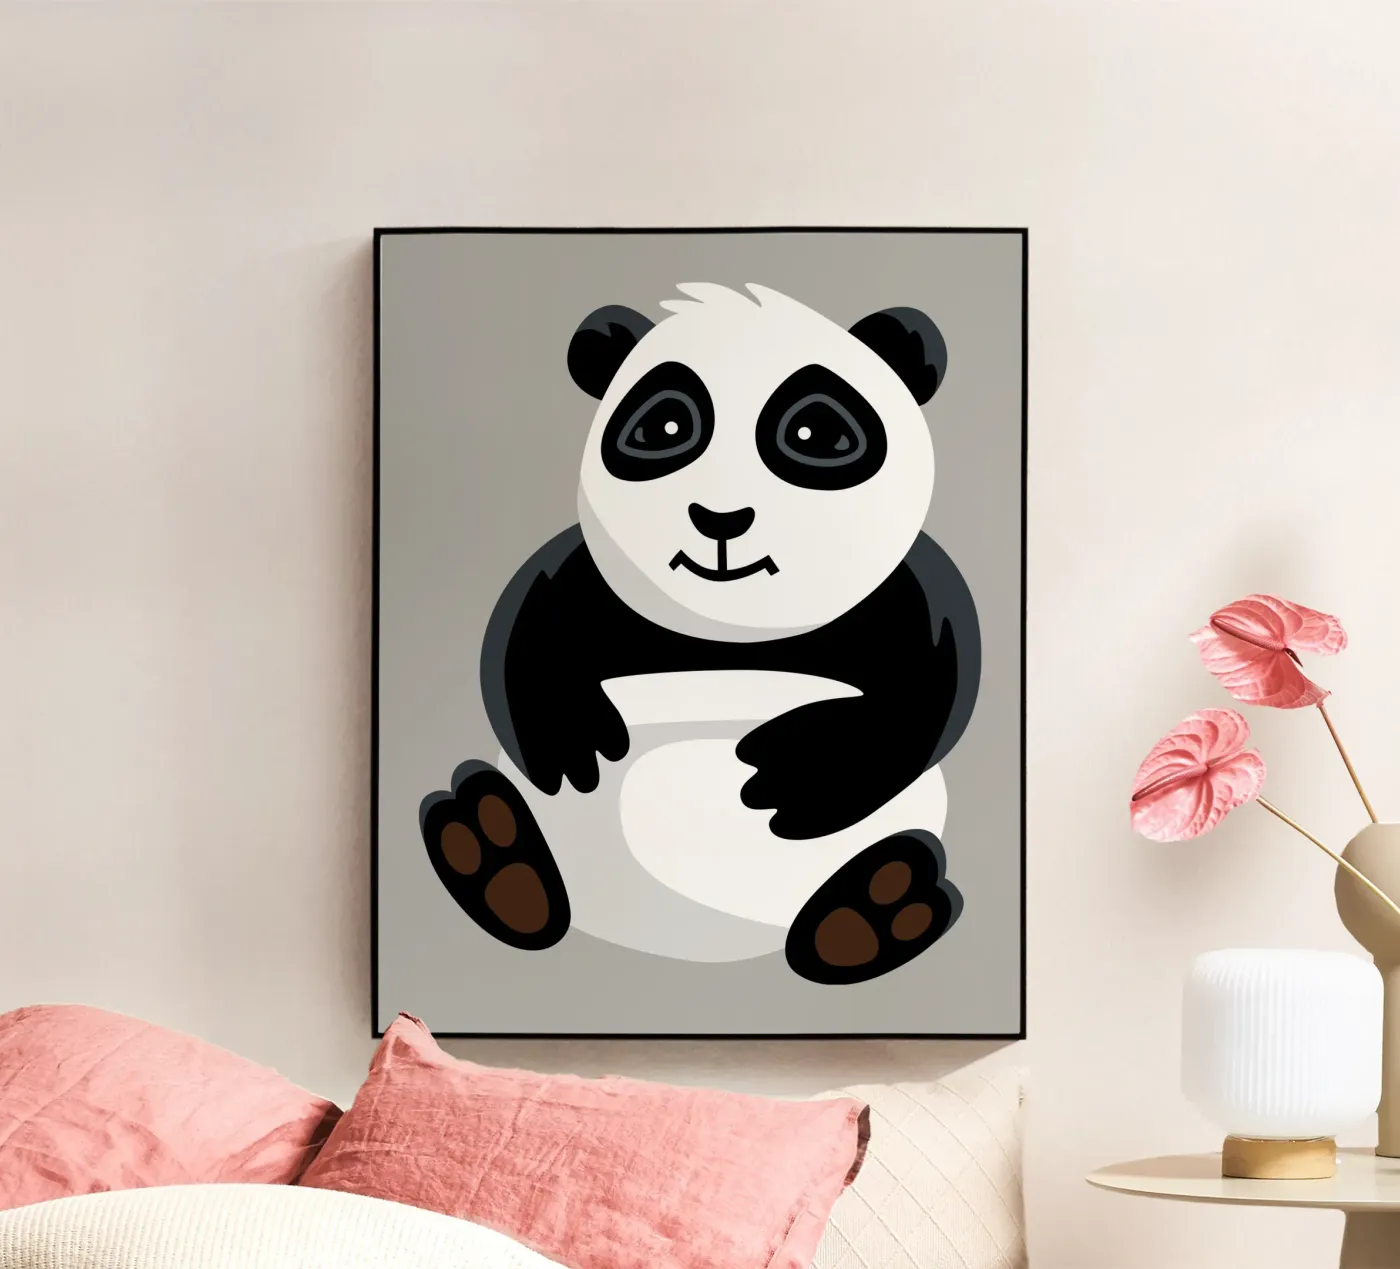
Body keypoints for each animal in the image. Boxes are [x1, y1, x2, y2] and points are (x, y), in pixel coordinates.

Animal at [420, 282, 980, 985]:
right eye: (665, 427)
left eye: (816, 433)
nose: (721, 517)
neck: (731, 629)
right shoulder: (591, 577)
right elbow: (531, 629)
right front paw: (574, 735)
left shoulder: (904, 596)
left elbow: (930, 686)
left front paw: (795, 769)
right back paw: (495, 856)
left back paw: (871, 912)